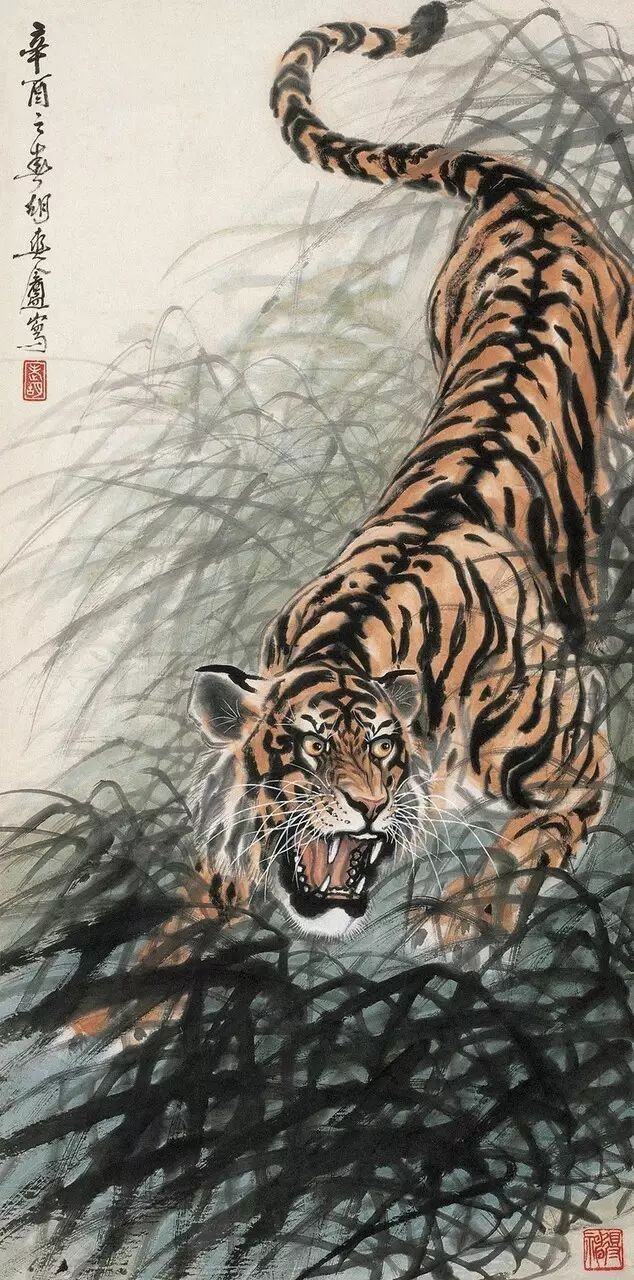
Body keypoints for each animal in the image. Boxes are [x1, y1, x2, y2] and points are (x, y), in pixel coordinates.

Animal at [72, 2, 633, 1039]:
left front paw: (461, 922)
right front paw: (124, 997)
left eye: (380, 752)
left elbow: (531, 842)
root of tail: (524, 194)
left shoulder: (583, 755)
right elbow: (207, 887)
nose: (365, 810)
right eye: (302, 752)